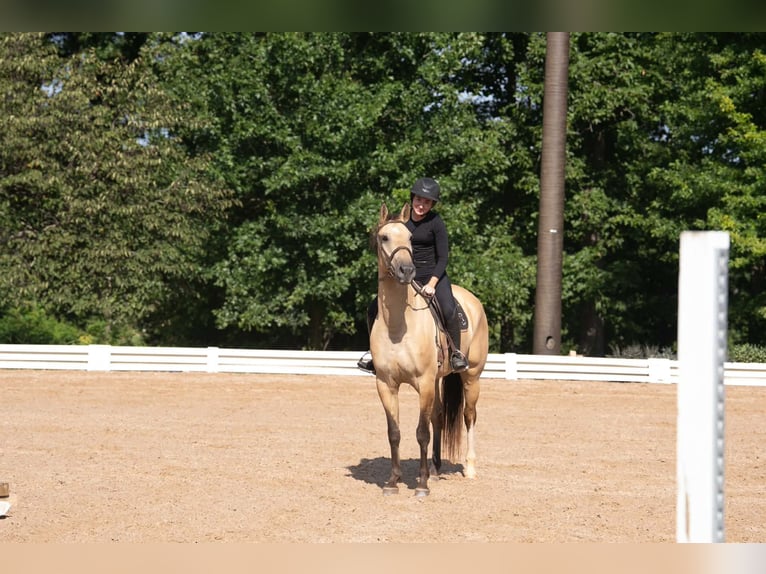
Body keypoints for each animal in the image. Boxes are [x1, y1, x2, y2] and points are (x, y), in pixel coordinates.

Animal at [370, 202, 489, 496]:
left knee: (469, 416)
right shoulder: (385, 384)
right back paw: (435, 470)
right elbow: (394, 433)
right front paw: (393, 481)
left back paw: (469, 468)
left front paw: (421, 485)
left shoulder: (423, 382)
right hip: (436, 380)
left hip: (471, 377)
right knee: (439, 416)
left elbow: (421, 432)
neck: (398, 326)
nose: (406, 271)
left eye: (410, 238)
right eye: (384, 237)